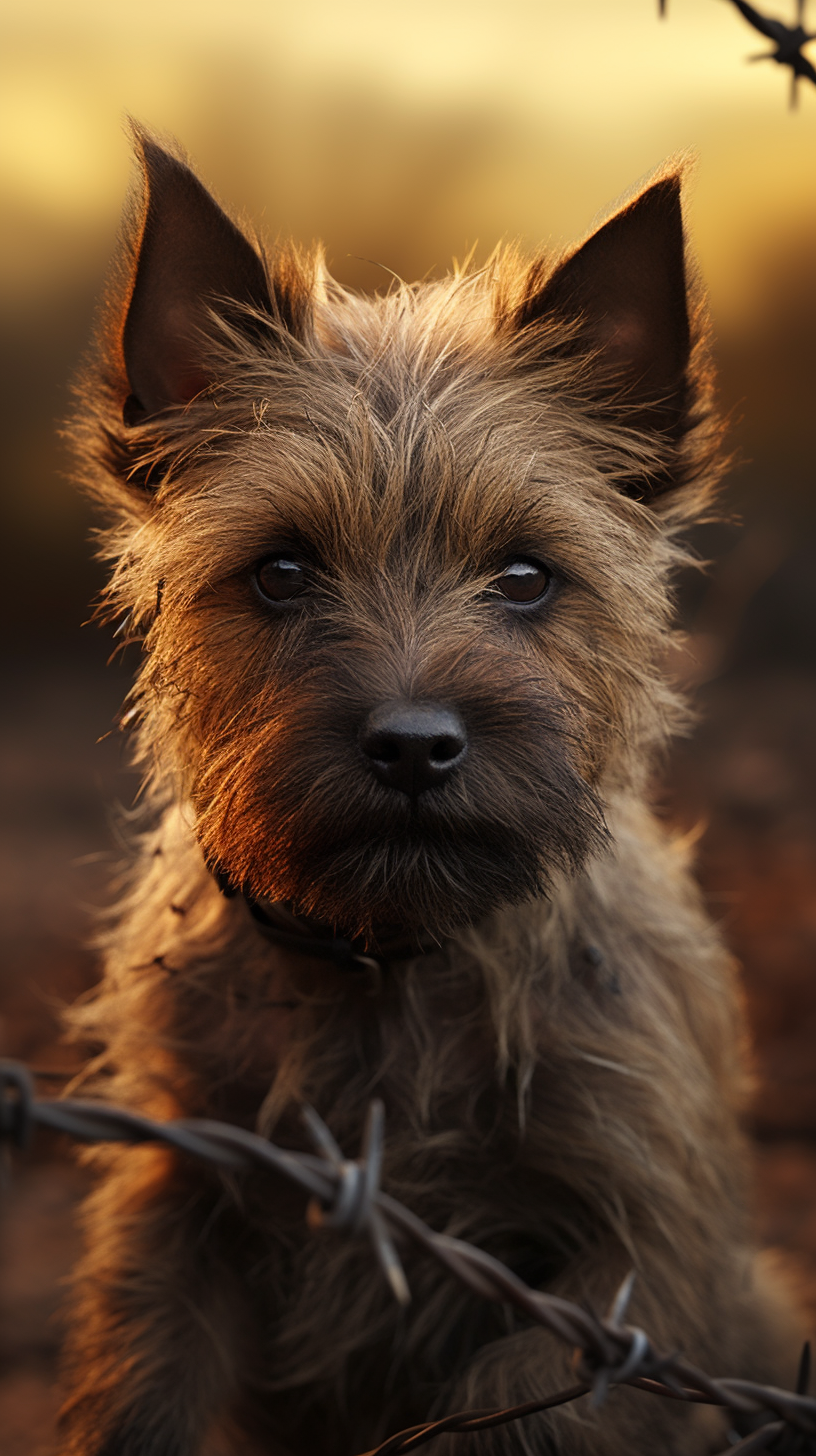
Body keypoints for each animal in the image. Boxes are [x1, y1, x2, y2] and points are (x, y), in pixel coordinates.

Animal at [59, 128, 798, 1456]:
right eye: (282, 571)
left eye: (525, 576)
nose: (412, 746)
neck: (391, 962)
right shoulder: (176, 1204)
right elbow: (143, 1391)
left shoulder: (637, 1259)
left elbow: (521, 1399)